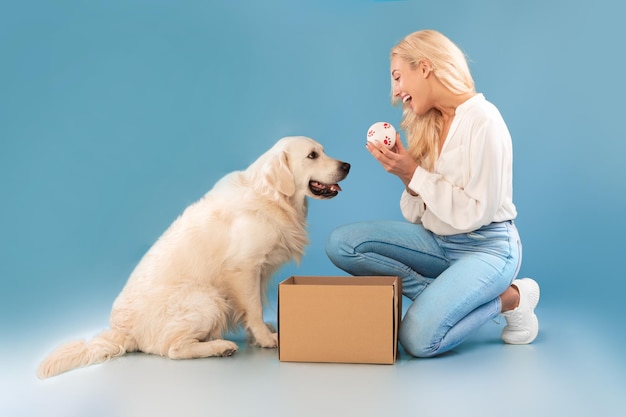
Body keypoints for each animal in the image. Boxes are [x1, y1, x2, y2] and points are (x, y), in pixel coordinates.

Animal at [36, 136, 348, 376]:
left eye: (324, 150)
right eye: (312, 155)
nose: (347, 165)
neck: (271, 196)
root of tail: (120, 331)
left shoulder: (257, 271)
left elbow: (252, 307)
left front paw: (257, 334)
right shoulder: (244, 267)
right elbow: (255, 307)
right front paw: (267, 338)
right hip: (207, 298)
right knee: (172, 349)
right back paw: (220, 347)